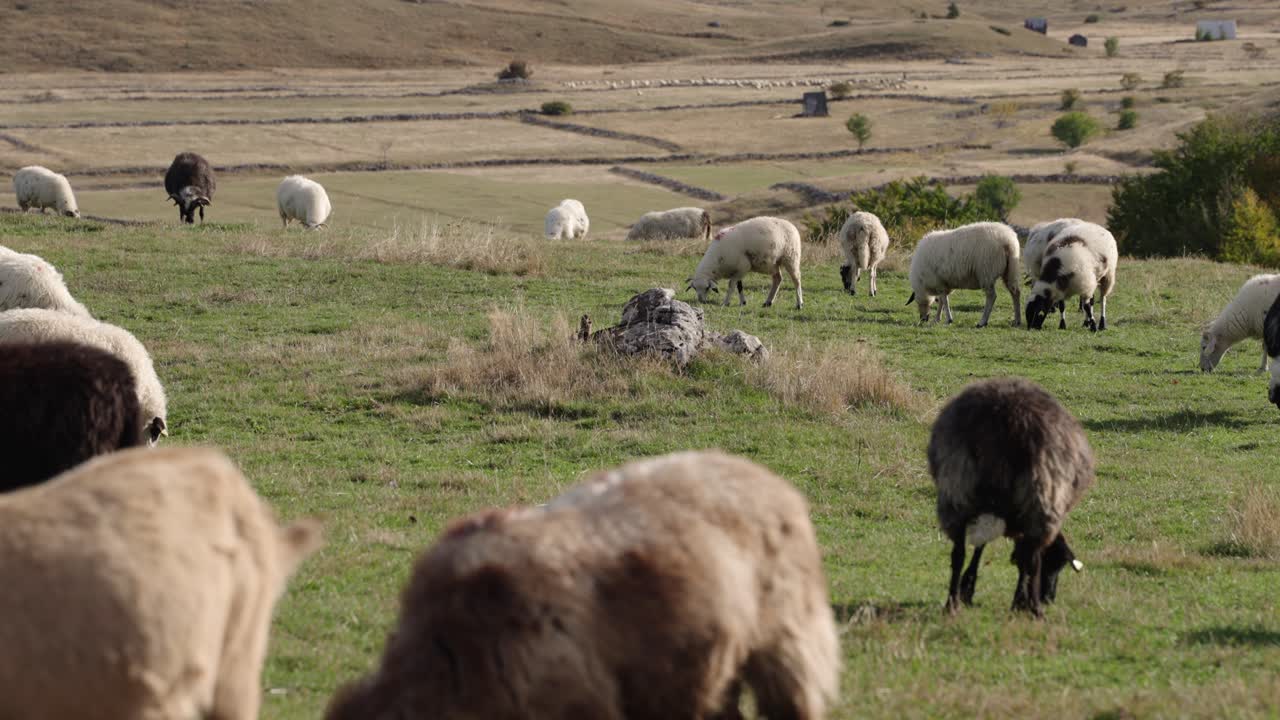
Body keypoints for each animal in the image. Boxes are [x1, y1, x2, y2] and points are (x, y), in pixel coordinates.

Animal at [929, 378, 1094, 618]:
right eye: (1055, 566)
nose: (1049, 598)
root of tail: (1010, 418)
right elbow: (1023, 560)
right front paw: (1018, 600)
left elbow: (983, 547)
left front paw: (969, 589)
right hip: (1040, 497)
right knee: (1032, 560)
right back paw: (1035, 610)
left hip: (957, 491)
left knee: (957, 553)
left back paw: (952, 603)